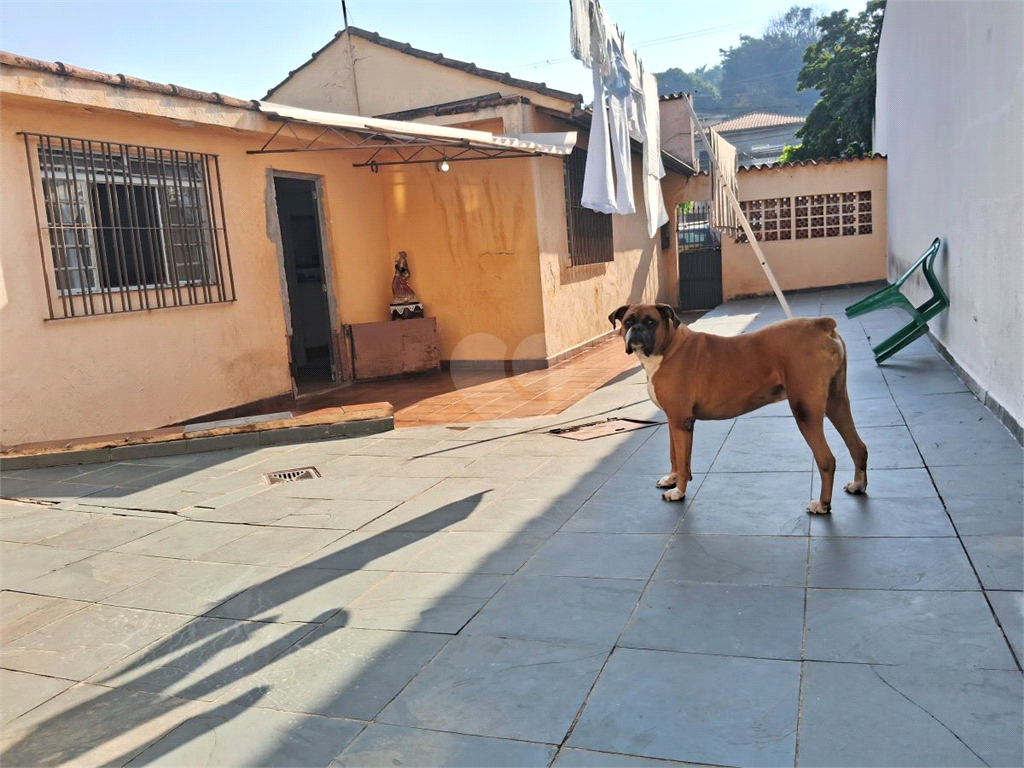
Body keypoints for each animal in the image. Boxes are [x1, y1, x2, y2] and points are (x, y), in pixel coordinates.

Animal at [610, 303, 868, 514]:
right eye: (628, 322)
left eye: (650, 322)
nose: (637, 330)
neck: (668, 346)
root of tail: (821, 324)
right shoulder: (674, 422)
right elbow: (675, 456)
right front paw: (671, 479)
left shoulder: (680, 421)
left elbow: (682, 462)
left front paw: (679, 491)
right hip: (837, 403)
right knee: (858, 447)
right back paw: (858, 485)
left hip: (805, 411)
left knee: (826, 459)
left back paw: (823, 505)